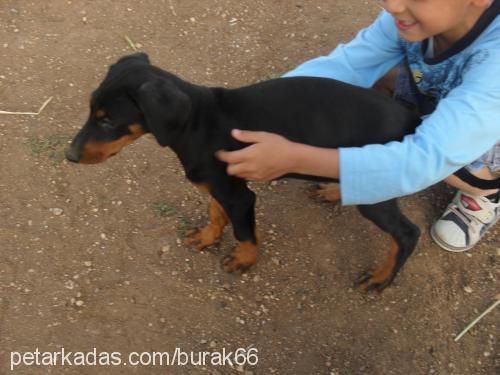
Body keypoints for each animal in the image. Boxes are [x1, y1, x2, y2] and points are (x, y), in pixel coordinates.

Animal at [64, 53, 420, 294]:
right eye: (90, 110)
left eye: (108, 120)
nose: (69, 155)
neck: (198, 123)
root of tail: (409, 116)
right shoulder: (218, 185)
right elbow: (216, 213)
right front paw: (208, 237)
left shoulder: (239, 196)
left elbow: (243, 230)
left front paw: (245, 259)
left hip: (379, 195)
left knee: (406, 234)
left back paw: (381, 277)